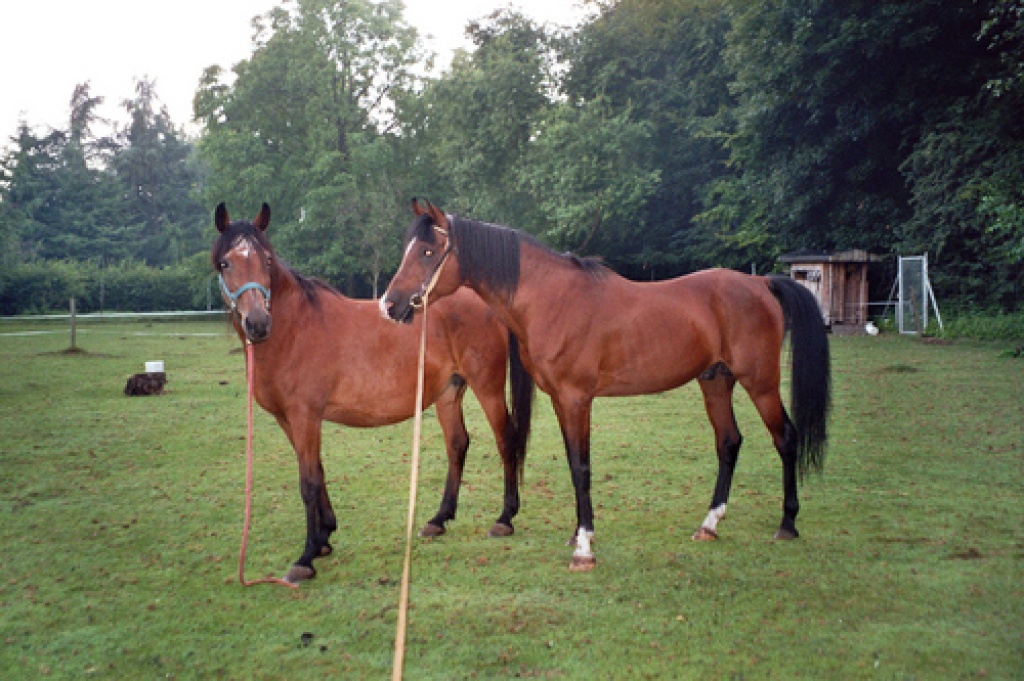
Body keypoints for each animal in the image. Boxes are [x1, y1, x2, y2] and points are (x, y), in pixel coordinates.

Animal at [212, 203, 534, 583]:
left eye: (265, 260)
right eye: (225, 263)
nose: (258, 323)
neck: (292, 329)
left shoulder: (305, 416)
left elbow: (308, 482)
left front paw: (306, 557)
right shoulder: (289, 420)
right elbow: (317, 471)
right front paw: (325, 537)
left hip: (488, 388)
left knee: (505, 439)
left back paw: (505, 518)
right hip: (448, 392)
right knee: (458, 443)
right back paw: (438, 519)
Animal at [380, 199, 830, 570]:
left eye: (427, 252)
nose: (389, 305)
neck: (551, 300)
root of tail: (760, 283)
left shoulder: (578, 399)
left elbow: (582, 466)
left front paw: (584, 547)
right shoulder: (560, 400)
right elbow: (571, 462)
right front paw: (576, 533)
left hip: (761, 383)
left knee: (785, 438)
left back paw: (788, 523)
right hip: (716, 382)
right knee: (729, 442)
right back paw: (709, 524)